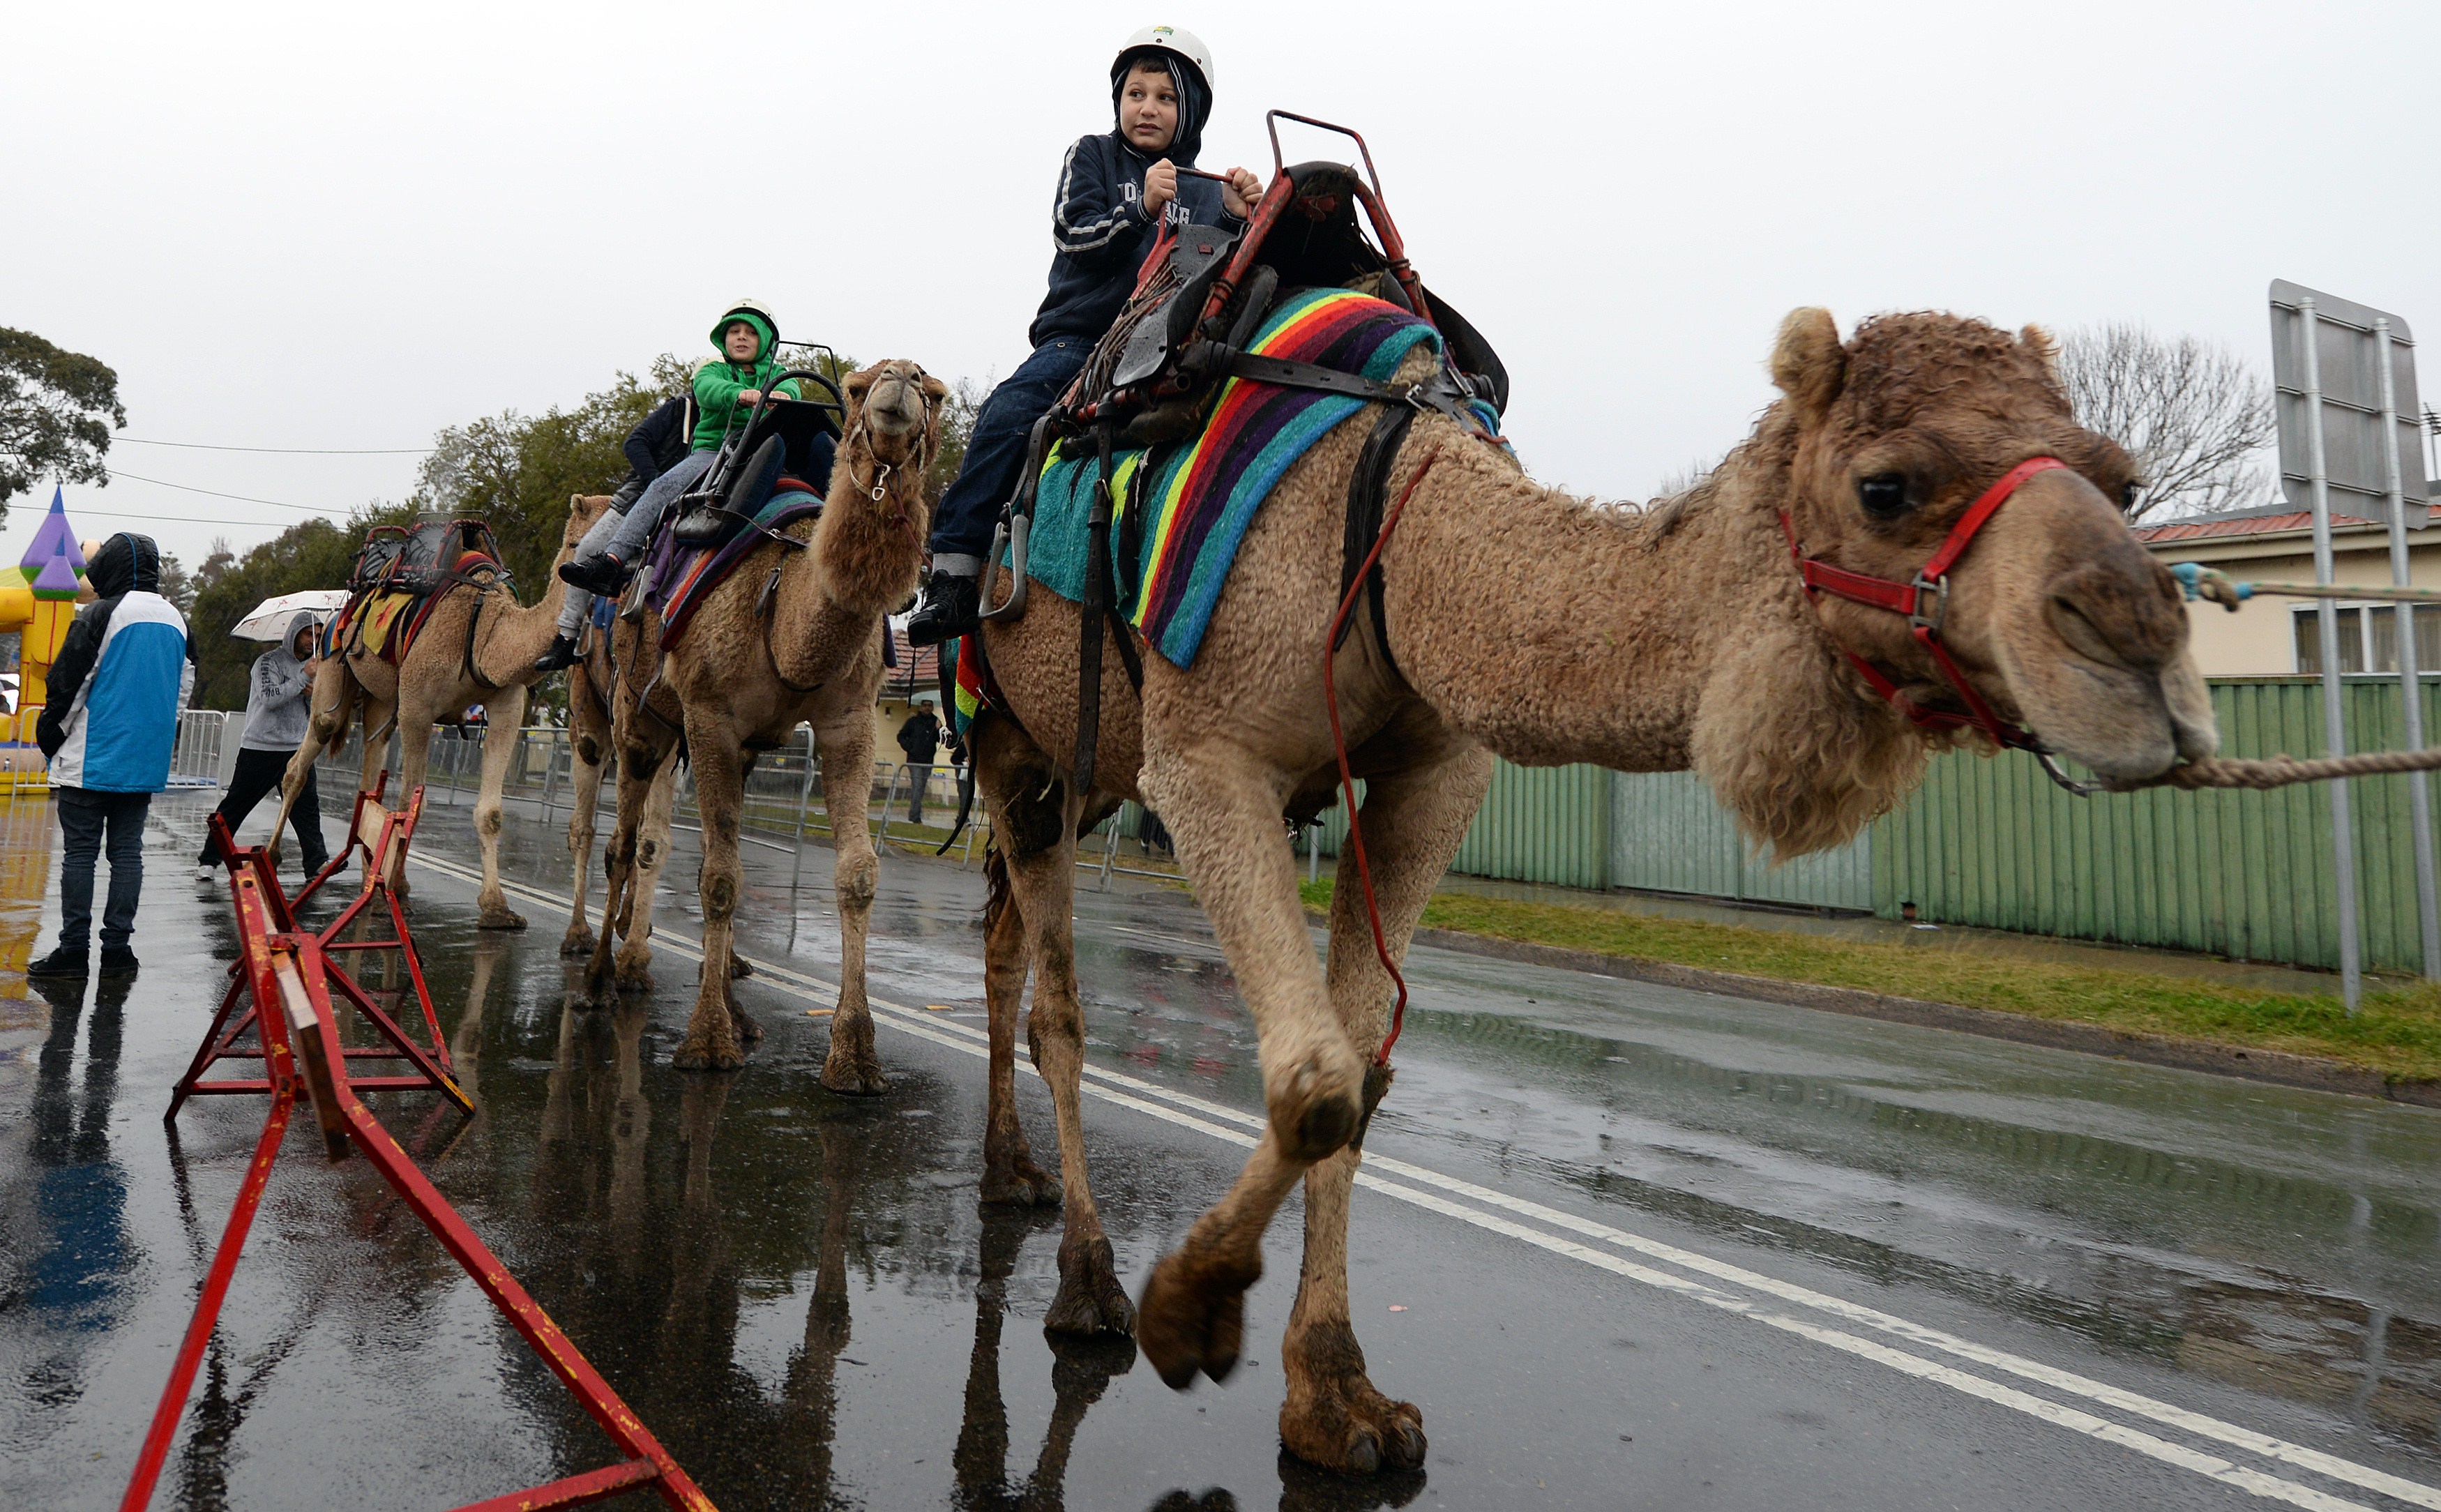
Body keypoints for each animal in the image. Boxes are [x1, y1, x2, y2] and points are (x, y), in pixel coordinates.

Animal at [270, 495, 612, 928]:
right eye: (578, 540)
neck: (484, 631)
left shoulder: (507, 706)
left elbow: (491, 812)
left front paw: (497, 908)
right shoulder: (418, 706)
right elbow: (409, 804)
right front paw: (395, 892)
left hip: (383, 700)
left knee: (370, 768)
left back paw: (368, 876)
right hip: (333, 661)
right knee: (308, 750)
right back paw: (274, 857)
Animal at [586, 359, 946, 1080]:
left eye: (937, 394)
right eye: (858, 386)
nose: (901, 378)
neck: (786, 609)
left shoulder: (848, 724)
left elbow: (856, 874)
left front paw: (855, 1054)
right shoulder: (709, 718)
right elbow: (721, 878)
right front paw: (705, 1043)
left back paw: (739, 1011)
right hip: (637, 722)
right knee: (623, 845)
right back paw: (599, 978)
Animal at [963, 308, 2216, 1474]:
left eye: (2122, 479)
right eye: (1887, 485)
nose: (2142, 638)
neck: (1399, 526)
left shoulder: (1436, 774)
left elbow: (1358, 1076)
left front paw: (1335, 1399)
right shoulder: (1205, 752)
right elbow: (1313, 1081)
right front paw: (1187, 1313)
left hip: (1077, 776)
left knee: (1004, 942)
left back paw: (1011, 1176)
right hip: (1020, 737)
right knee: (1056, 1001)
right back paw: (1087, 1286)